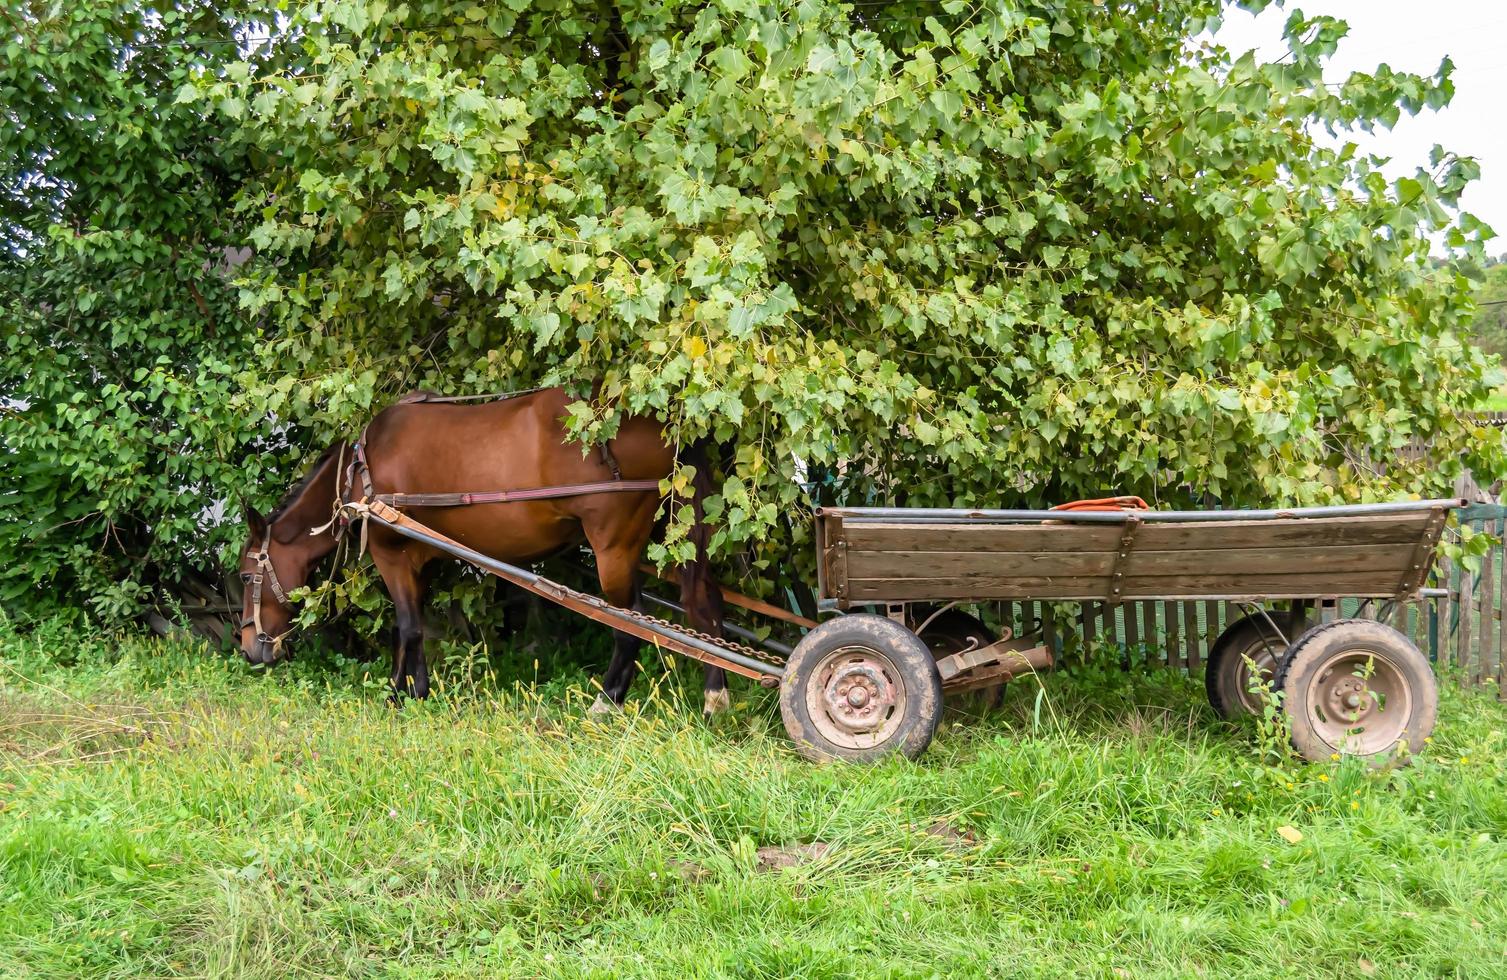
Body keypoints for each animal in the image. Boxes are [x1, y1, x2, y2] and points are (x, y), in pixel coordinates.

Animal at [235, 385, 729, 714]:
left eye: (244, 574)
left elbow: (406, 626)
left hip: (613, 548)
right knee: (704, 605)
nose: (247, 648)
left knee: (630, 626)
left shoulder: (391, 554)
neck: (362, 470)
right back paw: (714, 696)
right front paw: (417, 689)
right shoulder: (418, 558)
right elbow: (414, 627)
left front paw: (396, 694)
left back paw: (607, 702)